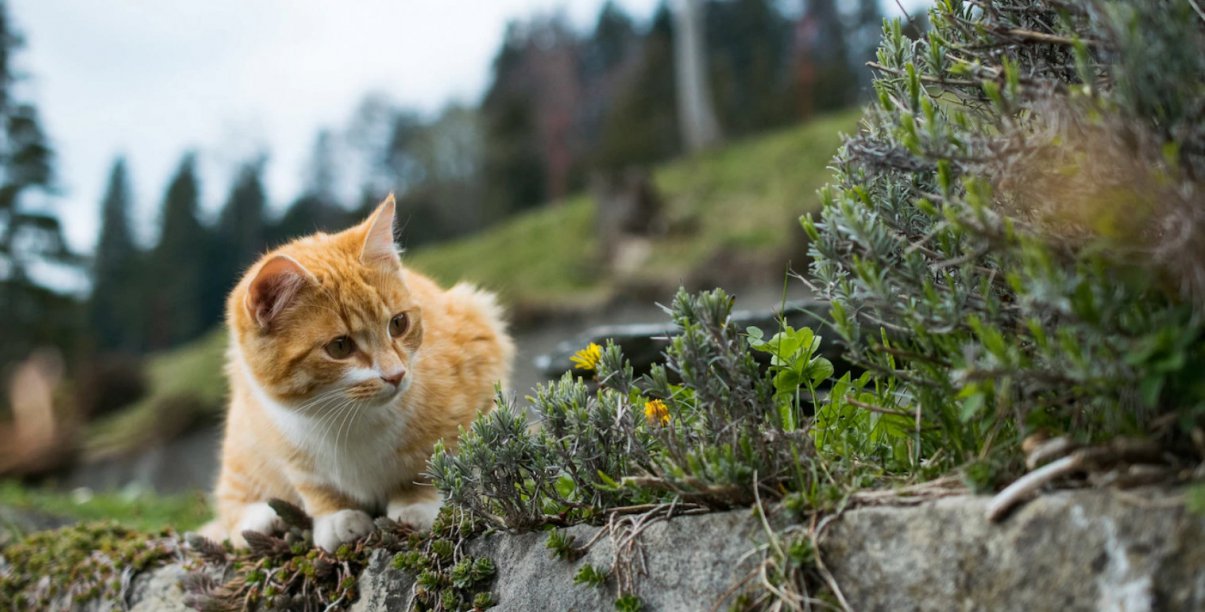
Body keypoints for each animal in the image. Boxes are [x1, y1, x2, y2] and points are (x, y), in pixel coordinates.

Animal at [206, 196, 513, 549]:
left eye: (398, 324)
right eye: (340, 347)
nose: (396, 375)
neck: (347, 416)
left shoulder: (477, 360)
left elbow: (437, 458)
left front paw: (417, 503)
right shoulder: (283, 438)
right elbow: (314, 484)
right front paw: (337, 515)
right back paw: (263, 520)